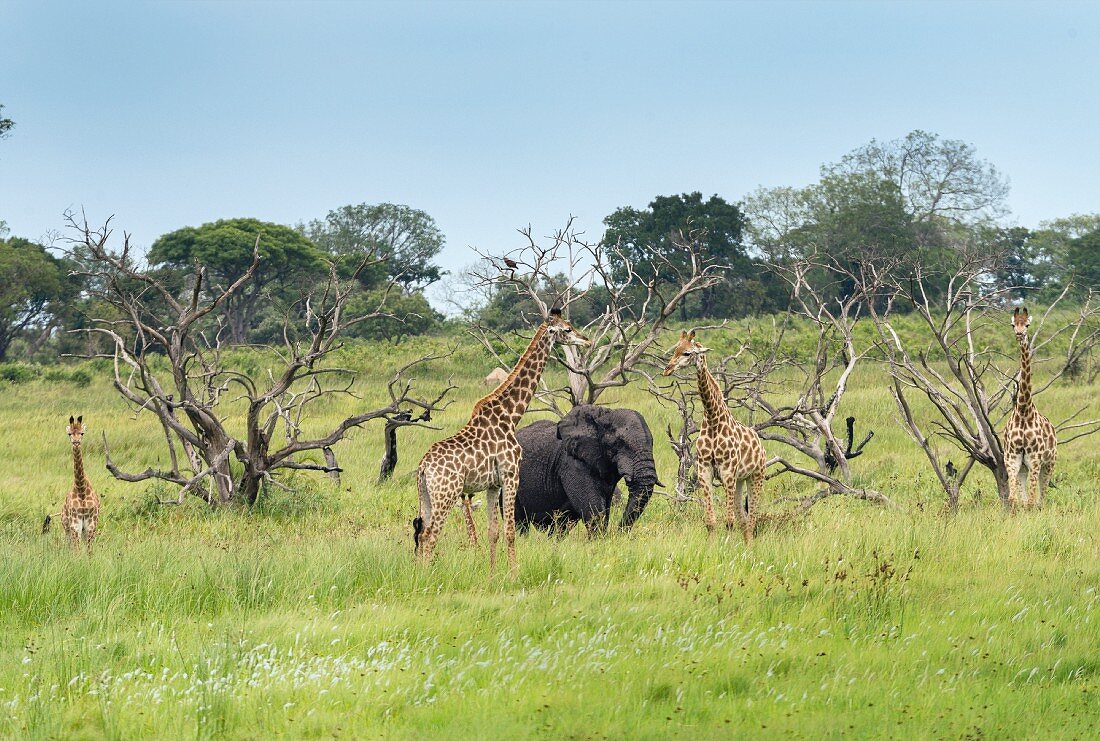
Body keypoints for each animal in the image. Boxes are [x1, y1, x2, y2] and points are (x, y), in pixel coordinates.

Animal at [41, 413, 100, 551]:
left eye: (82, 433)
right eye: (69, 434)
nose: (76, 442)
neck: (81, 489)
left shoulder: (91, 524)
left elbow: (89, 551)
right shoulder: (75, 524)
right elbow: (77, 551)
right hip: (67, 526)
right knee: (70, 545)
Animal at [413, 305, 589, 571]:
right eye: (567, 329)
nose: (587, 340)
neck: (509, 417)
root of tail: (424, 466)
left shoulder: (492, 484)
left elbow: (493, 532)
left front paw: (493, 572)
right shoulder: (510, 475)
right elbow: (510, 531)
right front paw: (514, 573)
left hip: (426, 494)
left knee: (422, 532)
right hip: (446, 494)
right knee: (431, 534)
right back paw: (426, 575)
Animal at [514, 400, 660, 534]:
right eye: (618, 443)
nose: (619, 533)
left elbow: (604, 508)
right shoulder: (571, 463)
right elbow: (593, 509)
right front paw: (599, 541)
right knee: (520, 521)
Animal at [660, 332, 765, 538]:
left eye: (687, 353)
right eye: (675, 349)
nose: (667, 369)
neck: (713, 420)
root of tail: (761, 445)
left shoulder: (727, 472)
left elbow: (729, 521)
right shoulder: (704, 470)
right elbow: (710, 521)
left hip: (756, 475)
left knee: (751, 519)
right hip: (740, 480)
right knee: (744, 520)